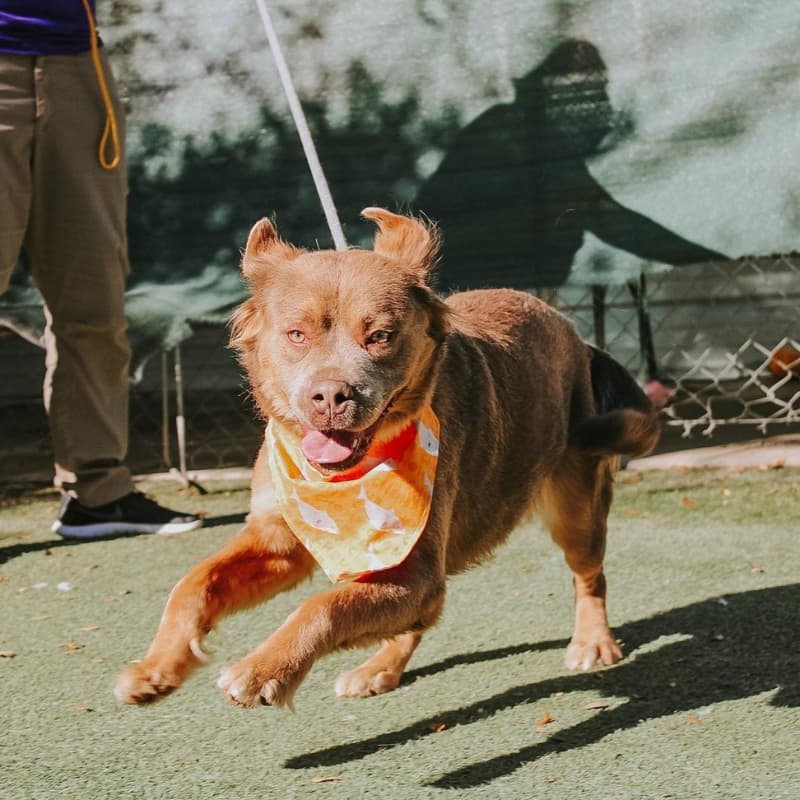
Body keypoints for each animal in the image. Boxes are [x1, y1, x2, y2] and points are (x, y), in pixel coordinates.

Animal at [115, 209, 660, 708]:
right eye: (297, 334)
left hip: (576, 512)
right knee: (422, 617)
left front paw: (263, 670)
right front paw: (157, 668)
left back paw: (593, 642)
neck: (343, 480)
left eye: (379, 336)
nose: (330, 397)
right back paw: (380, 667)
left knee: (589, 576)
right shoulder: (281, 541)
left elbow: (323, 607)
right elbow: (192, 584)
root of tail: (577, 335)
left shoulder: (414, 568)